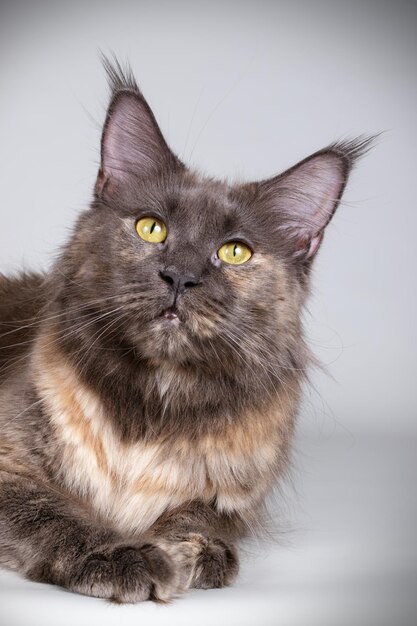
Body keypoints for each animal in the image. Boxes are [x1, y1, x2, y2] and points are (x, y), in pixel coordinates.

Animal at [0, 59, 372, 600]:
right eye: (151, 227)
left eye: (234, 252)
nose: (179, 276)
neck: (156, 402)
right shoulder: (10, 467)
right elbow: (53, 513)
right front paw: (121, 555)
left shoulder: (234, 494)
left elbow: (198, 516)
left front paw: (196, 551)